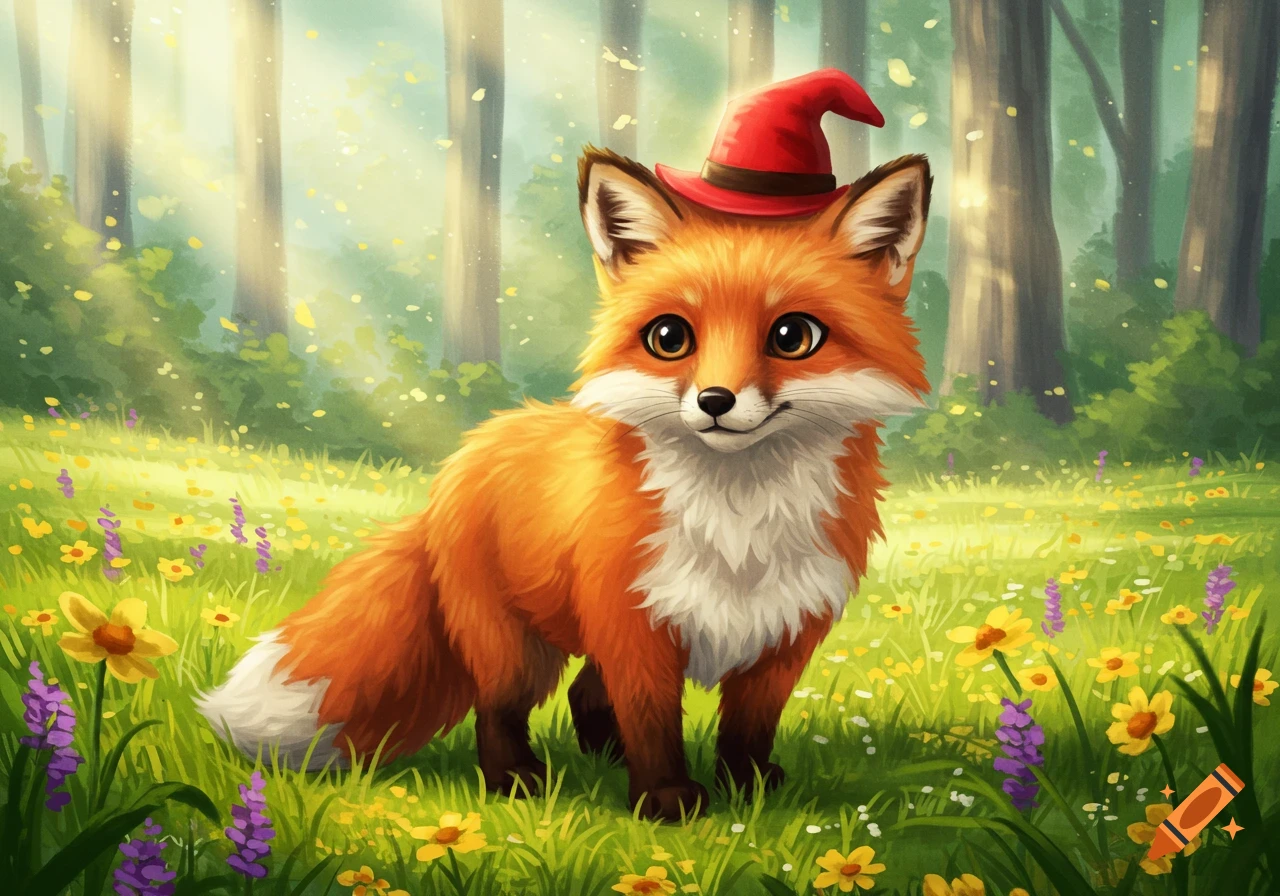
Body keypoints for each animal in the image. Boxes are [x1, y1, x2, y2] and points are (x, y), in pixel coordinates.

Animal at [198, 144, 933, 822]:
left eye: (792, 336)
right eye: (670, 337)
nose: (715, 401)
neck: (740, 523)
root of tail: (466, 454)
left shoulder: (784, 631)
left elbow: (747, 730)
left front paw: (747, 791)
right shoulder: (636, 626)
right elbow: (654, 722)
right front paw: (665, 801)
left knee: (584, 695)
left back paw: (602, 757)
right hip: (514, 647)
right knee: (498, 709)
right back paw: (517, 780)